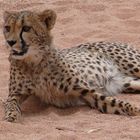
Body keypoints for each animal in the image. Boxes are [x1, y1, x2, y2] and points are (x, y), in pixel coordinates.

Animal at [2, 9, 140, 122]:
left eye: (26, 28)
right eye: (7, 28)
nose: (10, 42)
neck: (33, 63)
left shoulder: (84, 90)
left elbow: (111, 101)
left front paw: (134, 109)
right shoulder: (15, 93)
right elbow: (11, 103)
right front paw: (11, 116)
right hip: (127, 83)